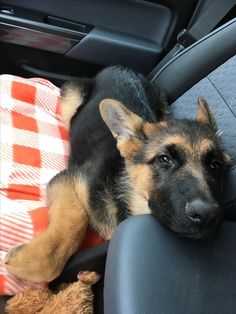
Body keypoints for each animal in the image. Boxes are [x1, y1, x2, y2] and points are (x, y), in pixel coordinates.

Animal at [5, 65, 230, 282]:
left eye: (215, 165)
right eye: (164, 159)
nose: (208, 215)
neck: (128, 198)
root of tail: (122, 68)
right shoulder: (68, 178)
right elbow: (75, 217)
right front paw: (30, 261)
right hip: (72, 98)